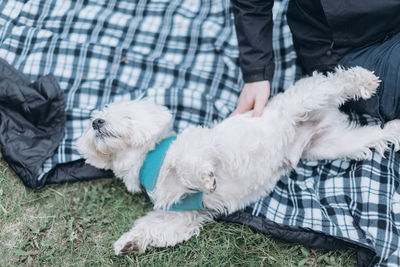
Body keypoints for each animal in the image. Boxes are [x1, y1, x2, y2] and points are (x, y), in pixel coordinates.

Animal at [76, 67, 398, 255]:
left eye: (126, 116)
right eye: (100, 114)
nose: (96, 121)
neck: (147, 160)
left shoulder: (196, 148)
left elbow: (188, 164)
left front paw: (205, 178)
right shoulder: (182, 214)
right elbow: (157, 226)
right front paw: (129, 242)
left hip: (304, 100)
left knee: (331, 83)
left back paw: (362, 81)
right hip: (332, 145)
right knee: (372, 134)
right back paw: (394, 130)